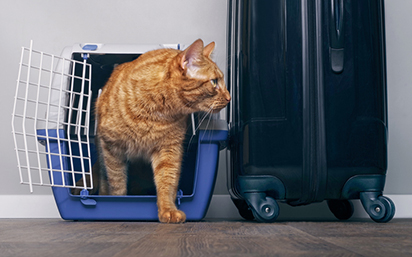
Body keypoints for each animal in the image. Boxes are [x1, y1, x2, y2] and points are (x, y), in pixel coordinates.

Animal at [94, 38, 230, 222]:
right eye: (214, 82)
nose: (230, 98)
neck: (156, 110)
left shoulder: (168, 150)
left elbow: (167, 182)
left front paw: (168, 210)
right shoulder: (111, 148)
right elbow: (117, 183)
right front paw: (117, 203)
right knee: (104, 178)